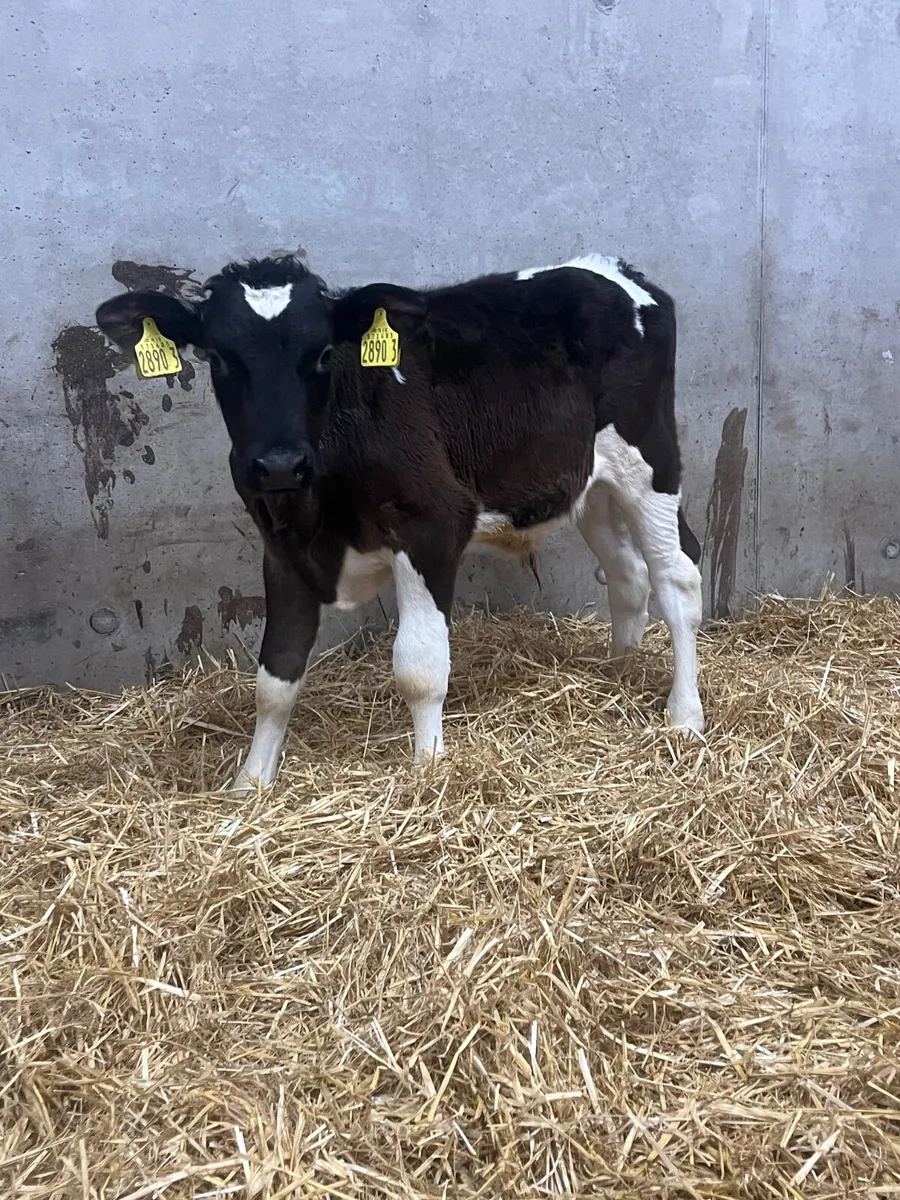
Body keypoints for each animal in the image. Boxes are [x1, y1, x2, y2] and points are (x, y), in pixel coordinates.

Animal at [95, 252, 705, 793]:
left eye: (323, 354)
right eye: (219, 357)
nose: (279, 464)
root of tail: (613, 269)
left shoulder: (432, 526)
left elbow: (420, 667)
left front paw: (428, 771)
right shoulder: (281, 547)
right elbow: (275, 677)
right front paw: (250, 784)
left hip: (651, 457)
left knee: (677, 577)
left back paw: (684, 714)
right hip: (589, 481)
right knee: (627, 575)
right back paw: (620, 671)